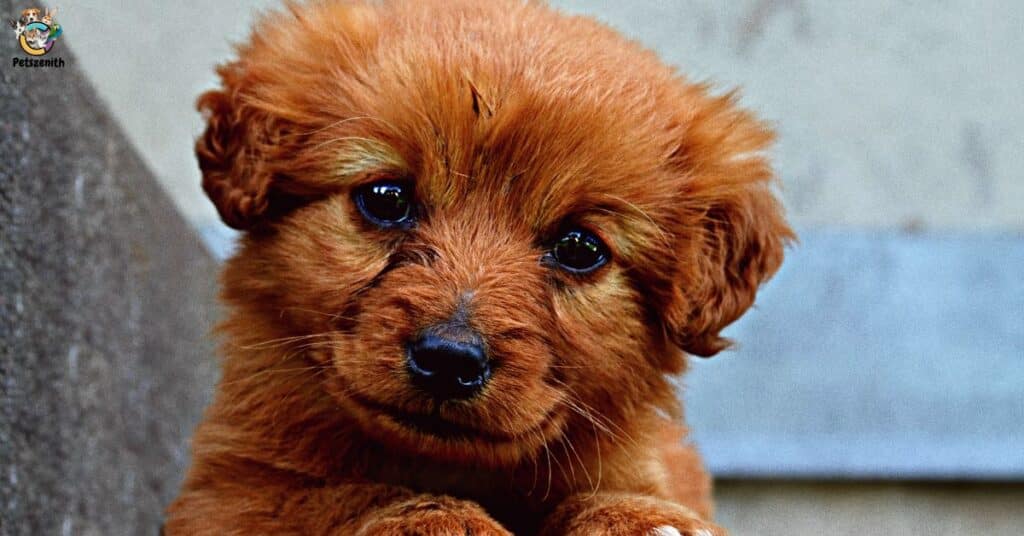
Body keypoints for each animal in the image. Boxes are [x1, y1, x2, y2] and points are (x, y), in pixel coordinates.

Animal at [165, 2, 790, 532]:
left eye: (580, 248)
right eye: (386, 198)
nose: (448, 359)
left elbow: (616, 493)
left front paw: (644, 519)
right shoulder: (226, 495)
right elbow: (341, 495)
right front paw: (439, 519)